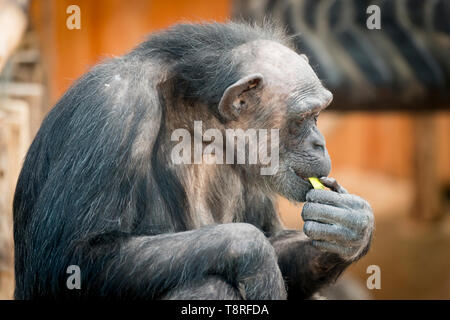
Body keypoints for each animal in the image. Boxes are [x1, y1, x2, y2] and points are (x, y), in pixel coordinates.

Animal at [13, 22, 372, 300]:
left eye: (319, 114)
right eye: (303, 118)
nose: (319, 142)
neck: (197, 117)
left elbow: (276, 239)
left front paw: (351, 226)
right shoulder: (114, 107)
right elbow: (75, 255)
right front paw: (256, 257)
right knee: (208, 287)